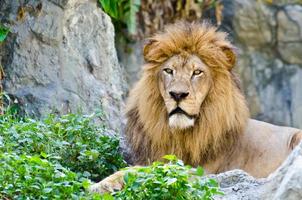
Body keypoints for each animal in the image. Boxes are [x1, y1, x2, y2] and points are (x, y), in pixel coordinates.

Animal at [89, 21, 302, 194]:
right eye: (169, 70)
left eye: (197, 72)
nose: (177, 95)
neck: (179, 134)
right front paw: (100, 184)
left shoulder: (202, 172)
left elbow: (148, 169)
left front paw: (105, 184)